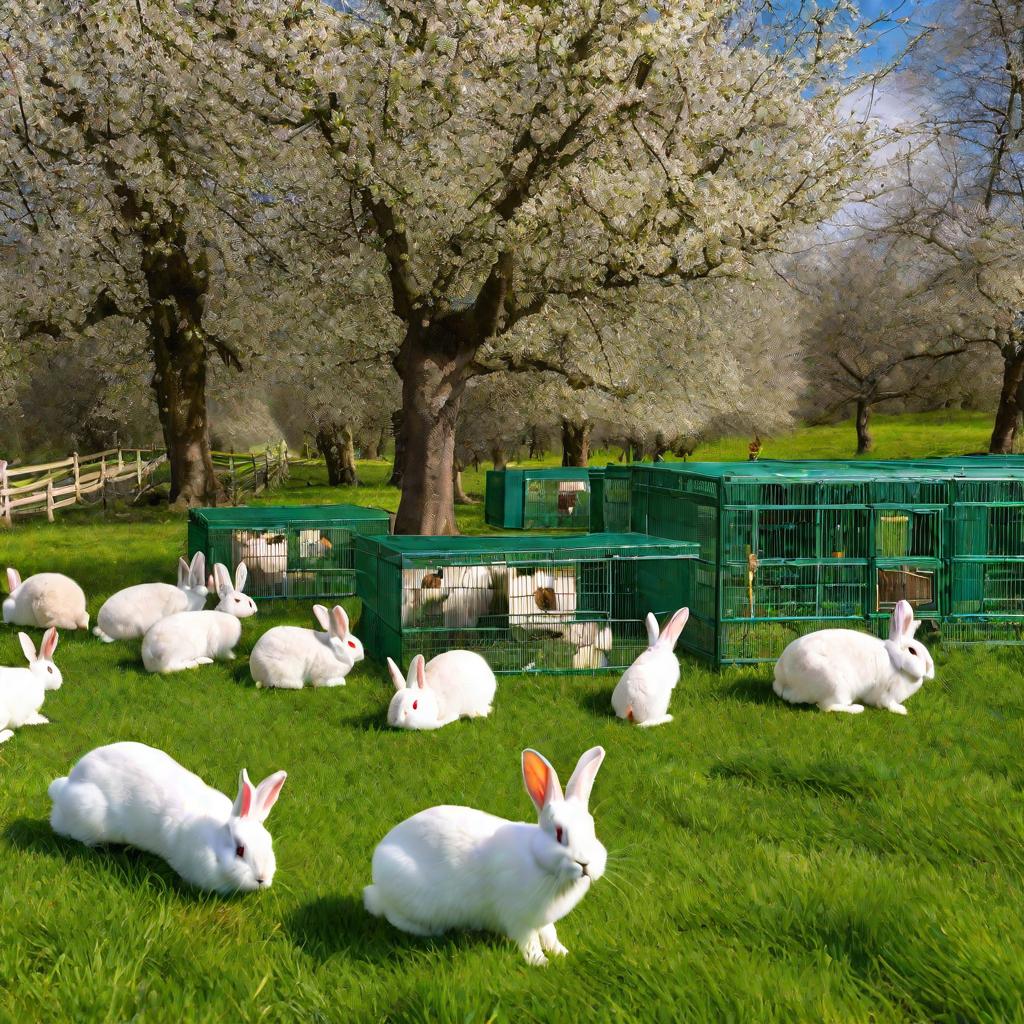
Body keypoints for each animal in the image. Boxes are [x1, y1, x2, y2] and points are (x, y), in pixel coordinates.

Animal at [366, 749, 606, 962]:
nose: (585, 863)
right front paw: (541, 962)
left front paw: (562, 953)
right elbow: (529, 942)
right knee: (394, 916)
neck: (541, 865)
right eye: (558, 833)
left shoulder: (542, 920)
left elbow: (550, 934)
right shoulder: (518, 918)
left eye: (592, 830)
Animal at [770, 598, 933, 716]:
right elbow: (888, 704)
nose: (930, 671)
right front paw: (902, 710)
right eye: (912, 651)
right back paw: (857, 708)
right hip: (835, 684)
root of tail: (783, 680)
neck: (895, 660)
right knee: (827, 706)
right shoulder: (887, 693)